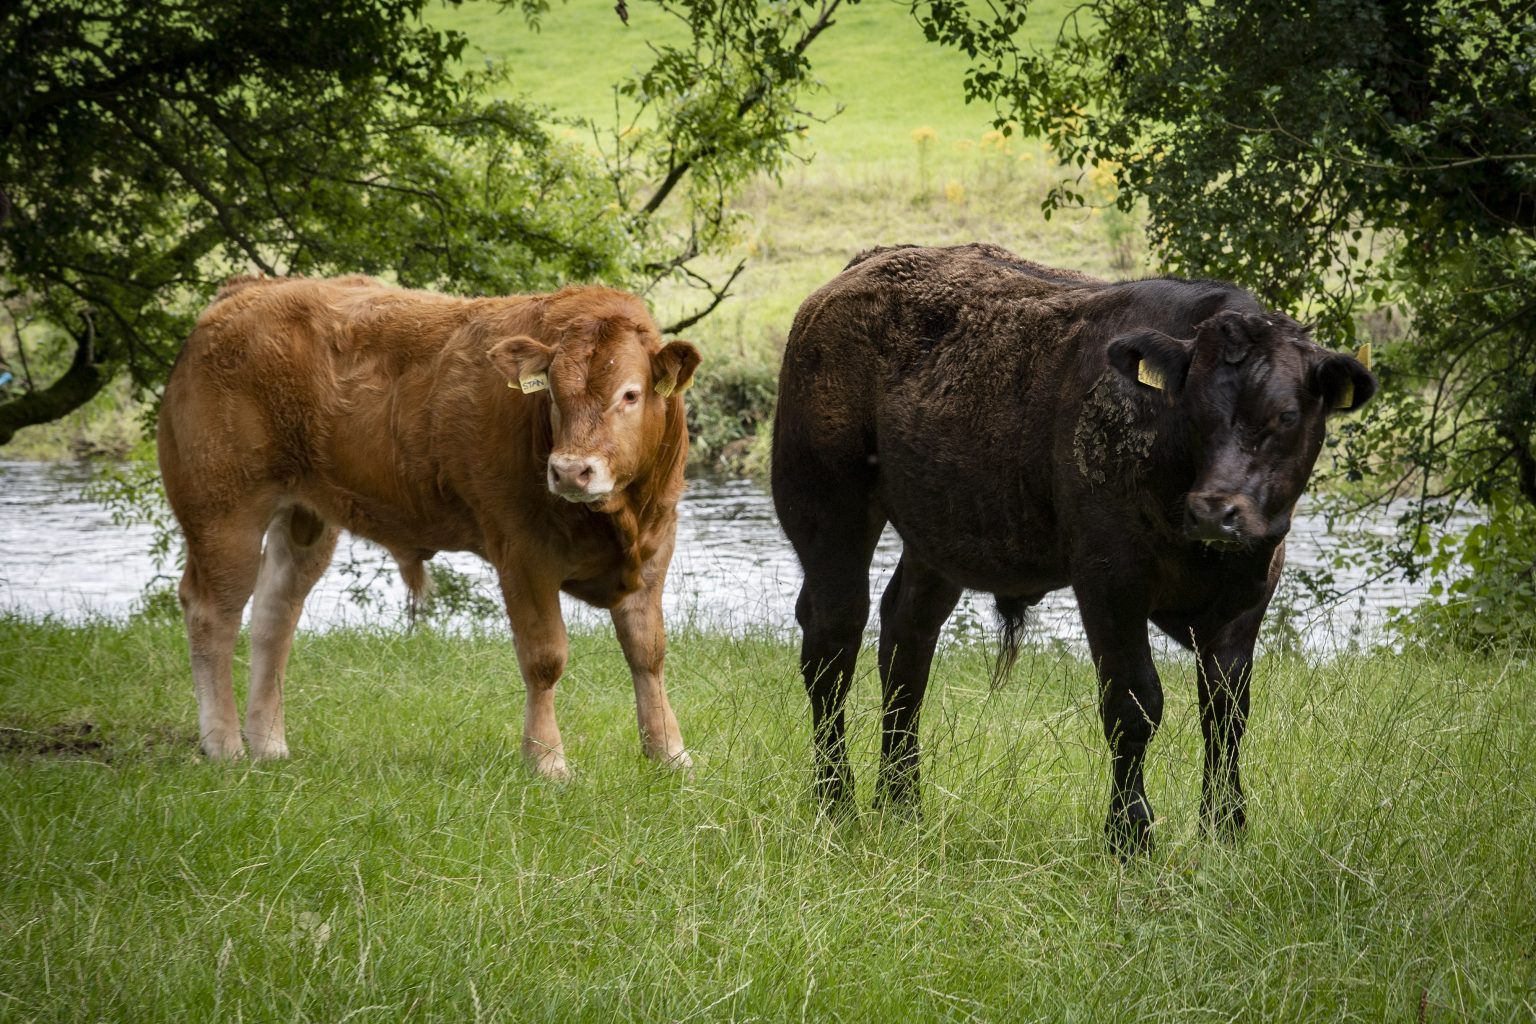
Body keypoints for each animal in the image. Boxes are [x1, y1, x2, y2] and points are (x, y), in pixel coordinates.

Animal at [157, 271, 703, 776]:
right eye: (551, 393)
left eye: (630, 394)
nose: (569, 470)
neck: (621, 520)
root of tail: (249, 289)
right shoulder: (522, 552)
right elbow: (544, 658)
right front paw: (547, 762)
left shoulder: (656, 546)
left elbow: (648, 651)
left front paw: (670, 754)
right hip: (223, 509)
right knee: (213, 611)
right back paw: (224, 746)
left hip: (303, 517)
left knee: (275, 614)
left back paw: (269, 745)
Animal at [774, 244, 1376, 853]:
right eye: (1194, 411)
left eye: (1286, 416)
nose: (1214, 510)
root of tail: (868, 262)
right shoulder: (1109, 578)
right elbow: (1134, 702)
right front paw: (1129, 835)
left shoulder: (1252, 589)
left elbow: (1226, 711)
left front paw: (1225, 829)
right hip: (826, 504)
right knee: (833, 640)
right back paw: (837, 801)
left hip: (938, 533)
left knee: (906, 640)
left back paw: (901, 803)